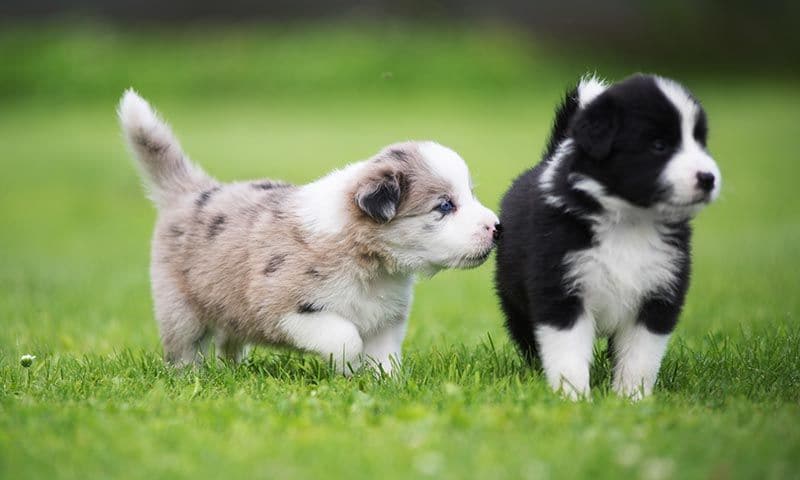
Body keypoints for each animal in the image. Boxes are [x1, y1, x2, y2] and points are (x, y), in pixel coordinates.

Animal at [118, 91, 496, 376]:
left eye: (470, 195)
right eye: (444, 206)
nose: (497, 228)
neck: (370, 263)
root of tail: (193, 191)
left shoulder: (386, 318)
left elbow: (385, 356)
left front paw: (385, 384)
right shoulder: (285, 307)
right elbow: (345, 337)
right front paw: (348, 369)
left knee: (229, 341)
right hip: (180, 308)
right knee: (185, 349)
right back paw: (190, 377)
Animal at [496, 74, 720, 398]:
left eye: (700, 143)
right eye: (659, 145)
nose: (708, 178)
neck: (629, 222)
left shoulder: (660, 292)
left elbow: (640, 356)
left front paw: (631, 397)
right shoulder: (560, 288)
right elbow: (568, 353)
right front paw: (573, 397)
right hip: (515, 299)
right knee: (527, 337)